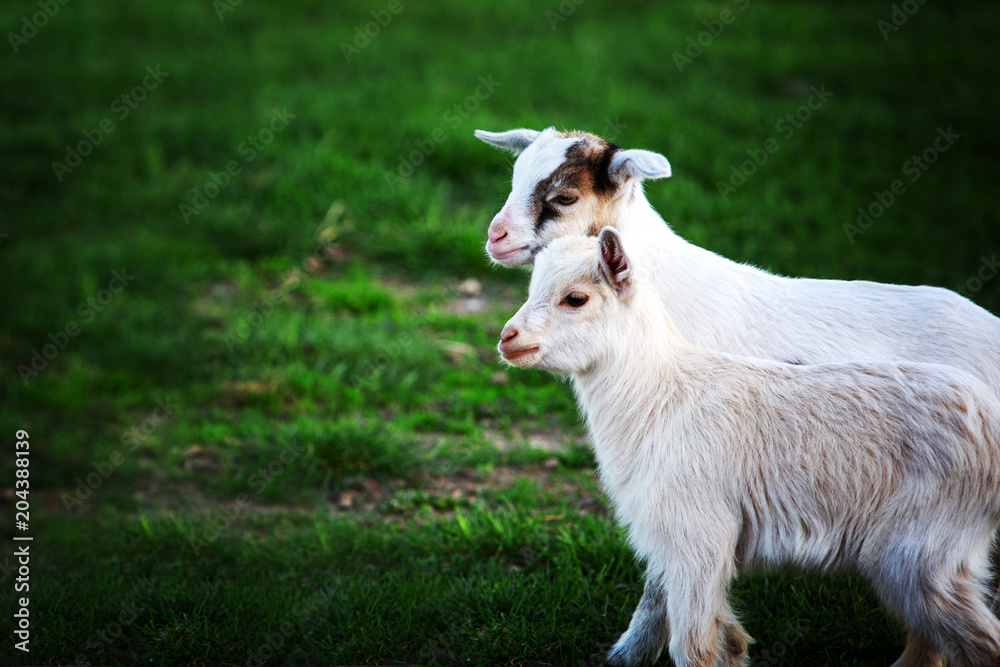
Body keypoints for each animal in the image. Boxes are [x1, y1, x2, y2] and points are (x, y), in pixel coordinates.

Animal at [498, 230, 1000, 667]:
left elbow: (695, 646)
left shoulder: (698, 532)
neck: (661, 397)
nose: (507, 338)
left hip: (918, 548)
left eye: (576, 298)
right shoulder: (672, 538)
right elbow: (722, 637)